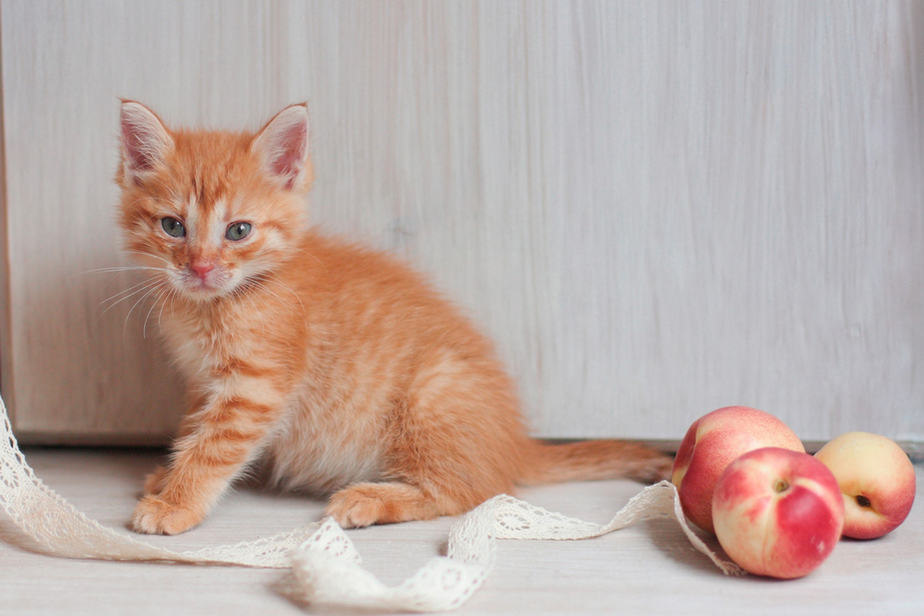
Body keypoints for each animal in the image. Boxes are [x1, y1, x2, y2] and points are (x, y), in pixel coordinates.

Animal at [117, 101, 672, 536]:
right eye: (172, 226)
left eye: (238, 230)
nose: (200, 268)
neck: (217, 303)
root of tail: (516, 445)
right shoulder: (203, 381)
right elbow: (194, 428)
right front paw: (169, 476)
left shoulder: (256, 387)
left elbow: (214, 447)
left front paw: (177, 502)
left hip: (433, 392)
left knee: (470, 492)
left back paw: (373, 498)